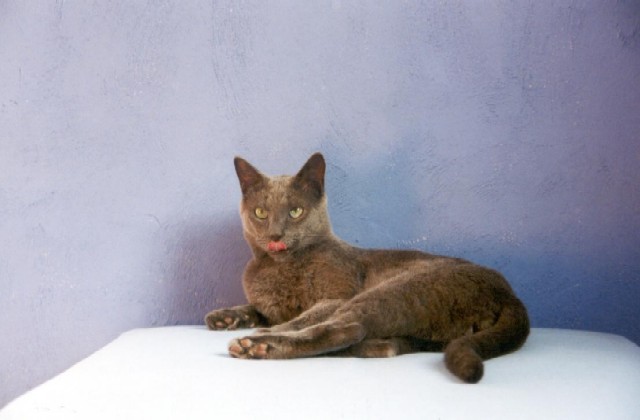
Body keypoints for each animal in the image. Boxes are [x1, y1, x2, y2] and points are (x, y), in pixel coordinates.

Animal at [204, 152, 529, 383]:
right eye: (261, 213)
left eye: (295, 211)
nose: (275, 235)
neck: (276, 268)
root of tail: (508, 293)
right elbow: (256, 307)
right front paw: (224, 316)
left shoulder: (336, 296)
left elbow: (301, 317)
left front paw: (264, 328)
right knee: (384, 344)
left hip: (397, 290)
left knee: (347, 329)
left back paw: (256, 345)